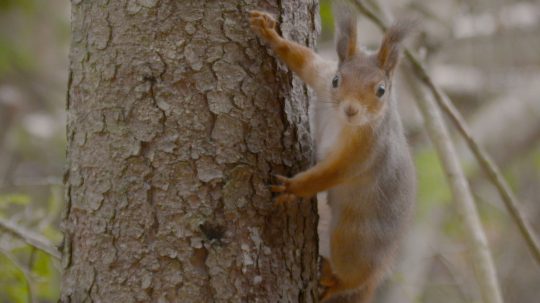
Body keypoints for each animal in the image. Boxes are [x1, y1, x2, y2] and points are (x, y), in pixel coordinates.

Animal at [250, 4, 418, 303]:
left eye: (381, 90)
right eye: (337, 80)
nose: (351, 109)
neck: (344, 122)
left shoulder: (366, 150)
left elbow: (330, 174)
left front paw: (292, 188)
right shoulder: (322, 76)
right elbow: (304, 62)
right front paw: (270, 34)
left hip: (353, 238)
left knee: (352, 274)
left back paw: (335, 281)